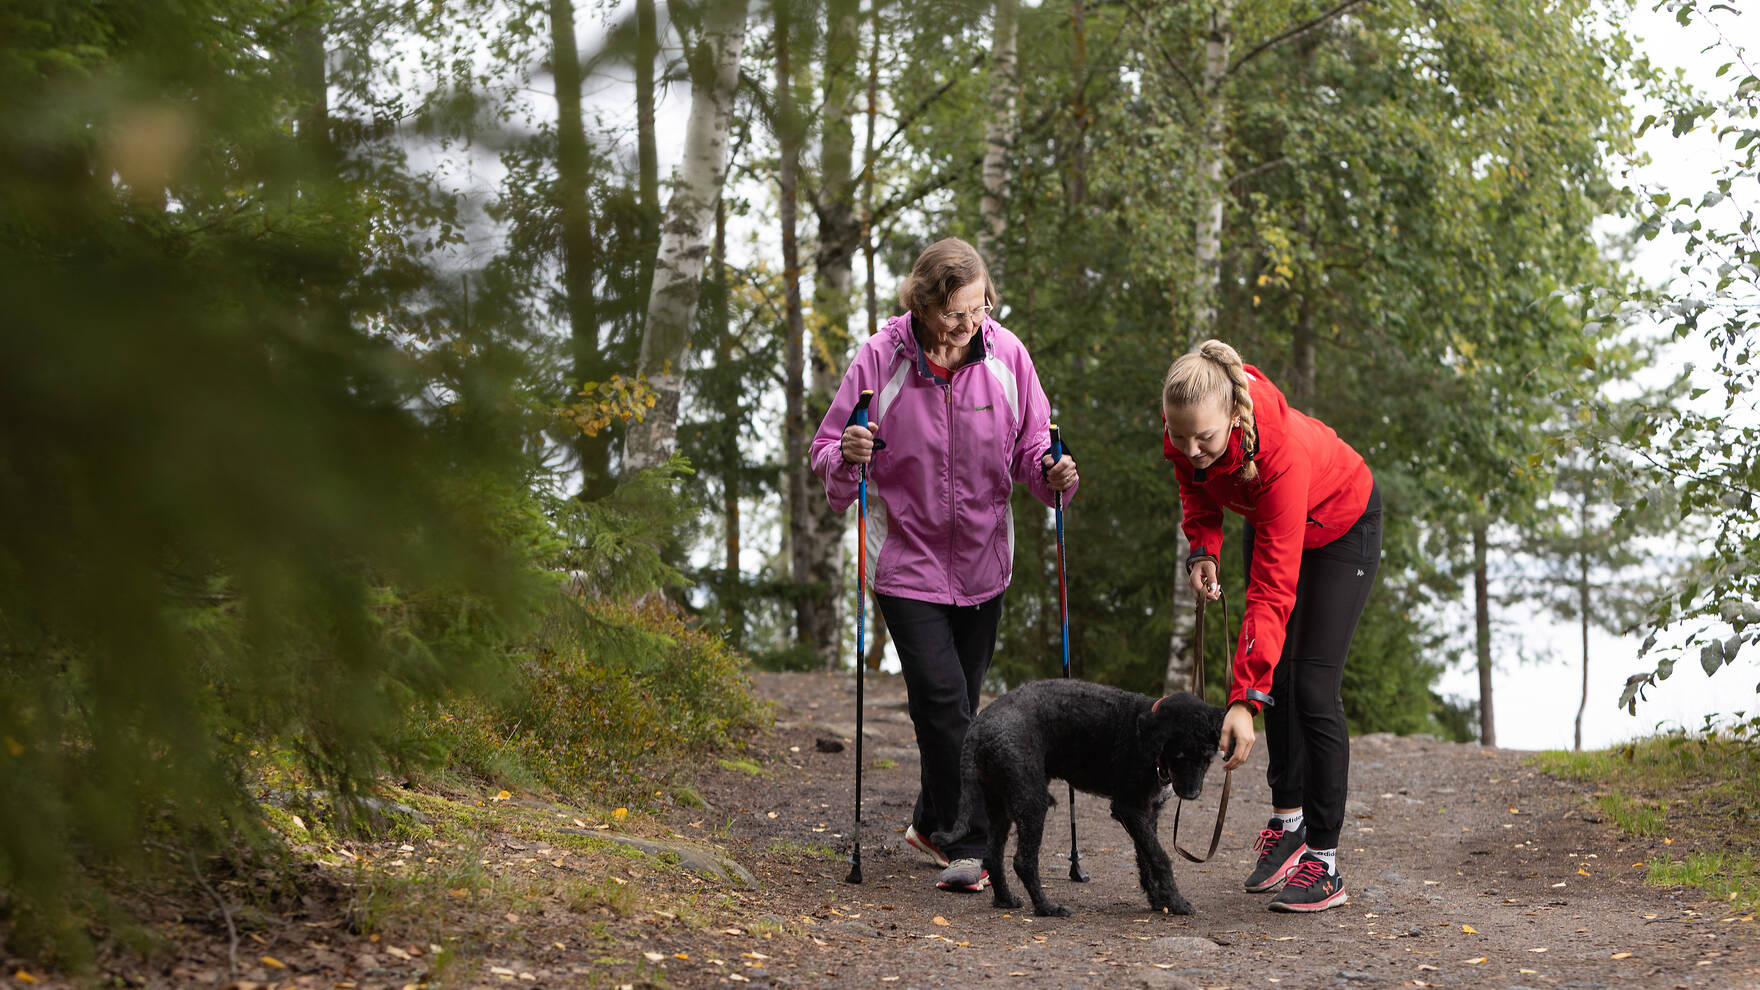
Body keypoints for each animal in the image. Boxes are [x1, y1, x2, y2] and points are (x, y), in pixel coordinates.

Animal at [936, 672, 1224, 916]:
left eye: (1207, 757)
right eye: (1180, 755)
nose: (1191, 793)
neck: (1148, 741)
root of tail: (979, 726)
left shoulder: (1147, 812)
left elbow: (1146, 859)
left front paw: (1158, 900)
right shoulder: (1129, 808)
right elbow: (1160, 857)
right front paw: (1176, 902)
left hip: (1000, 804)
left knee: (993, 856)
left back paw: (1005, 900)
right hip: (1031, 801)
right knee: (1023, 861)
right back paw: (1047, 908)